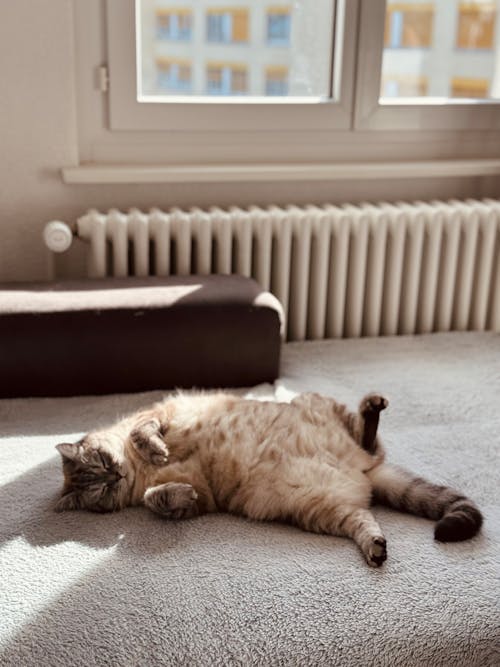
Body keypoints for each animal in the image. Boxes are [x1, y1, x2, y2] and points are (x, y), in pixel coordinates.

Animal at [55, 392, 484, 568]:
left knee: (368, 434)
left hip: (321, 408)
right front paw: (170, 490)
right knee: (365, 520)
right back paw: (375, 548)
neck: (140, 472)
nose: (116, 474)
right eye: (101, 488)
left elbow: (143, 431)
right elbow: (159, 498)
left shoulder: (163, 412)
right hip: (325, 510)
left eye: (104, 462)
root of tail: (362, 470)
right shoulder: (203, 496)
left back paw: (371, 407)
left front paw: (154, 449)